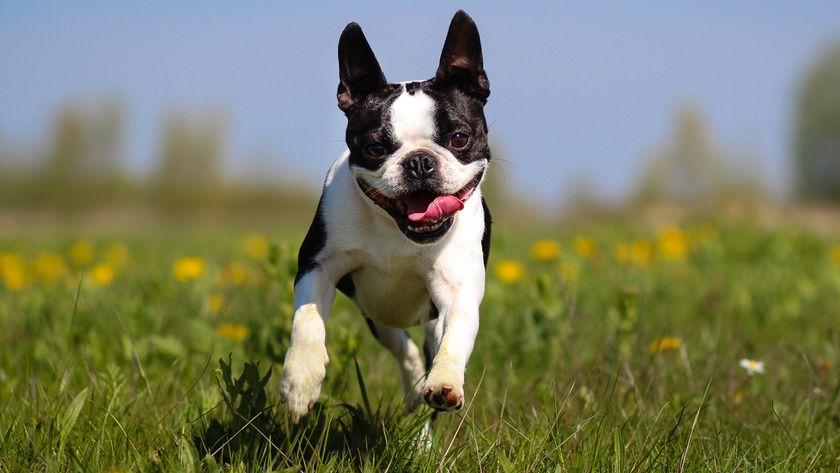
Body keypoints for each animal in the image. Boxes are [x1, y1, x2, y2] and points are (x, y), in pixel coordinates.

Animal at [282, 10, 492, 420]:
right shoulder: (318, 265)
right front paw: (301, 381)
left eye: (459, 138)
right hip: (375, 316)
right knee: (403, 349)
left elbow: (457, 334)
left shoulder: (457, 288)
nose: (420, 161)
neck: (395, 230)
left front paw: (445, 381)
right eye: (376, 147)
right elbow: (308, 321)